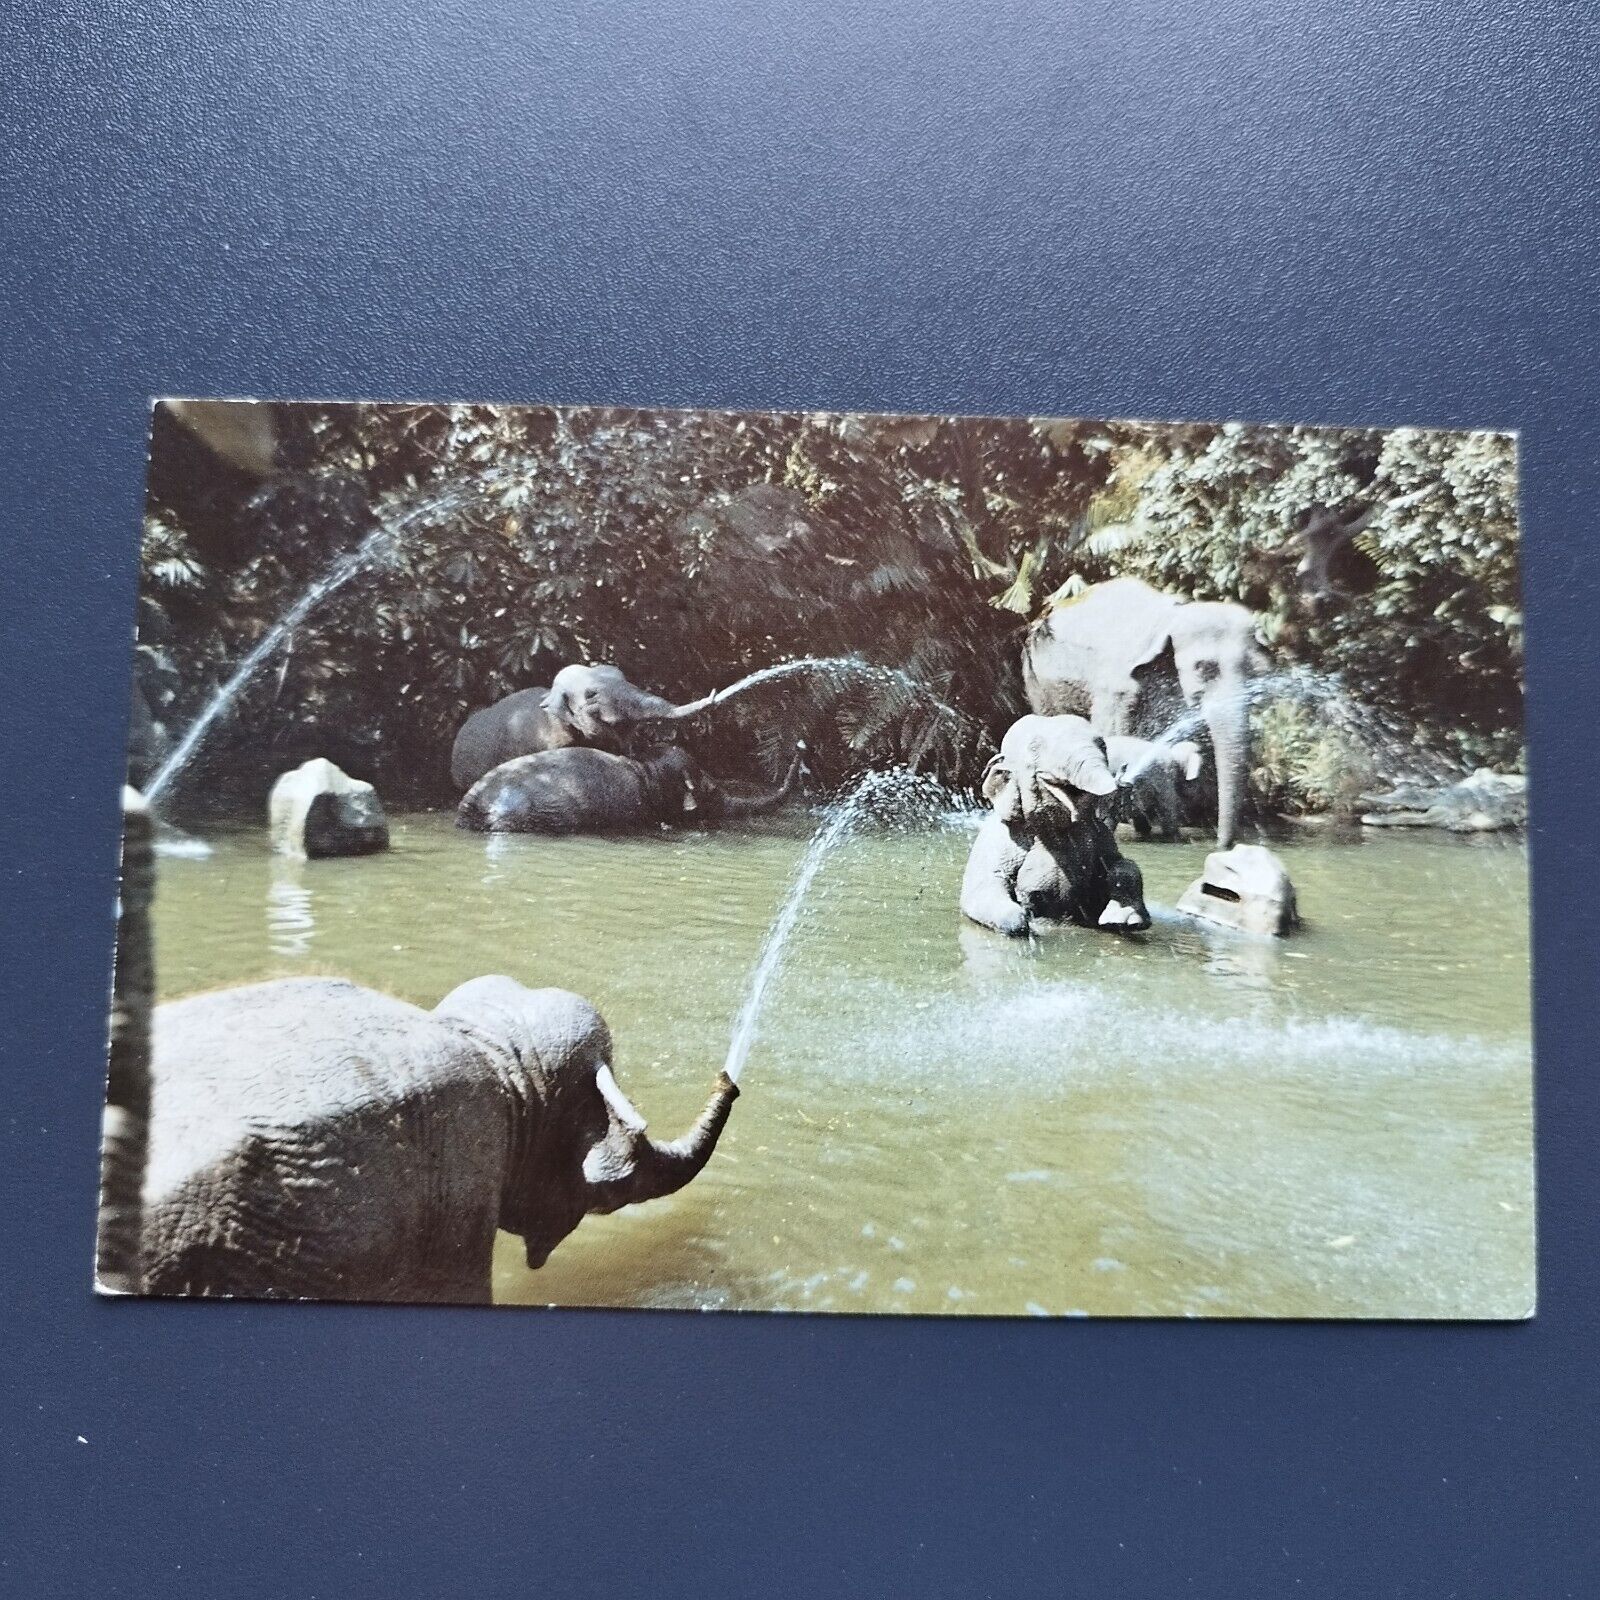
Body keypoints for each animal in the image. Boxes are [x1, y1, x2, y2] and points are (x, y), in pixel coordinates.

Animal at [960, 716, 1152, 934]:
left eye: (1103, 746)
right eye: (1035, 748)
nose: (1123, 784)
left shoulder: (1100, 834)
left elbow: (1122, 864)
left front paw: (1126, 921)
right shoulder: (999, 837)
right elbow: (984, 884)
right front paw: (1019, 922)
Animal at [1017, 576, 1267, 851]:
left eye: (1256, 671)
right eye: (1204, 668)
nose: (1224, 846)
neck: (1176, 614)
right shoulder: (1117, 687)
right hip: (1037, 678)